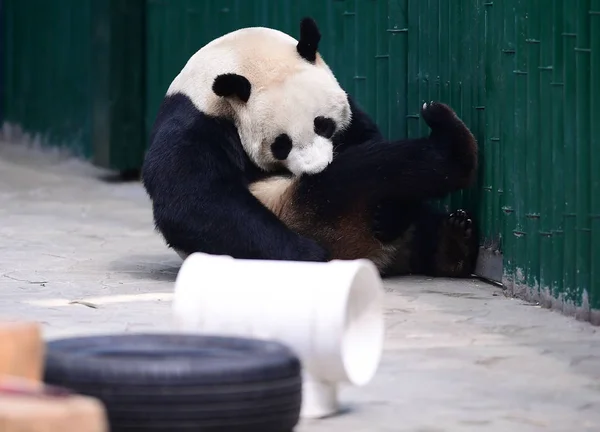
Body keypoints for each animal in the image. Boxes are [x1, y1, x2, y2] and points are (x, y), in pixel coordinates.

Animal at [141, 16, 478, 276]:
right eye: (281, 145)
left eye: (323, 124)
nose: (316, 168)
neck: (232, 59)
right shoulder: (197, 121)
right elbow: (194, 199)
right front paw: (307, 256)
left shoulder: (346, 104)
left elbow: (364, 134)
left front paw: (392, 214)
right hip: (301, 210)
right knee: (366, 171)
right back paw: (452, 144)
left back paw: (450, 244)